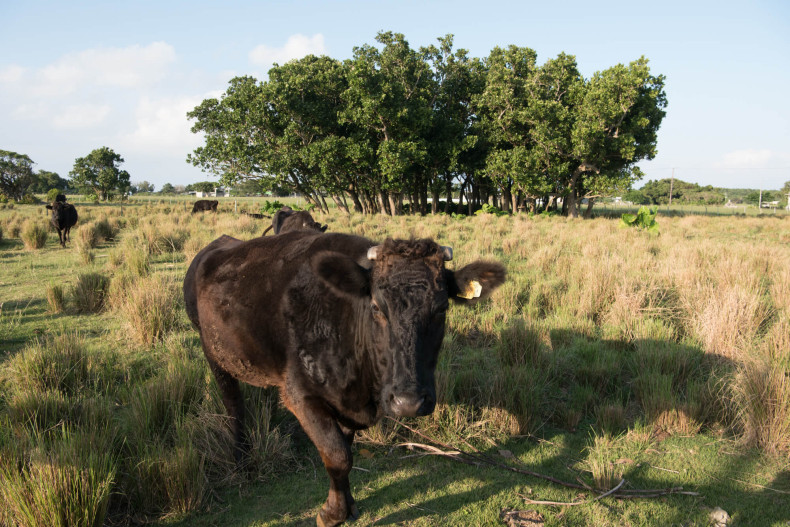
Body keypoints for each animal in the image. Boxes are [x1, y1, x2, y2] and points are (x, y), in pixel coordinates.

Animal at [184, 233, 508, 524]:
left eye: (442, 308)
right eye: (376, 307)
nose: (408, 402)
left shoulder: (347, 404)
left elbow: (346, 450)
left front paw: (347, 504)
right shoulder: (301, 396)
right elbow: (337, 455)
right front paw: (333, 513)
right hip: (213, 353)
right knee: (234, 406)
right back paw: (240, 458)